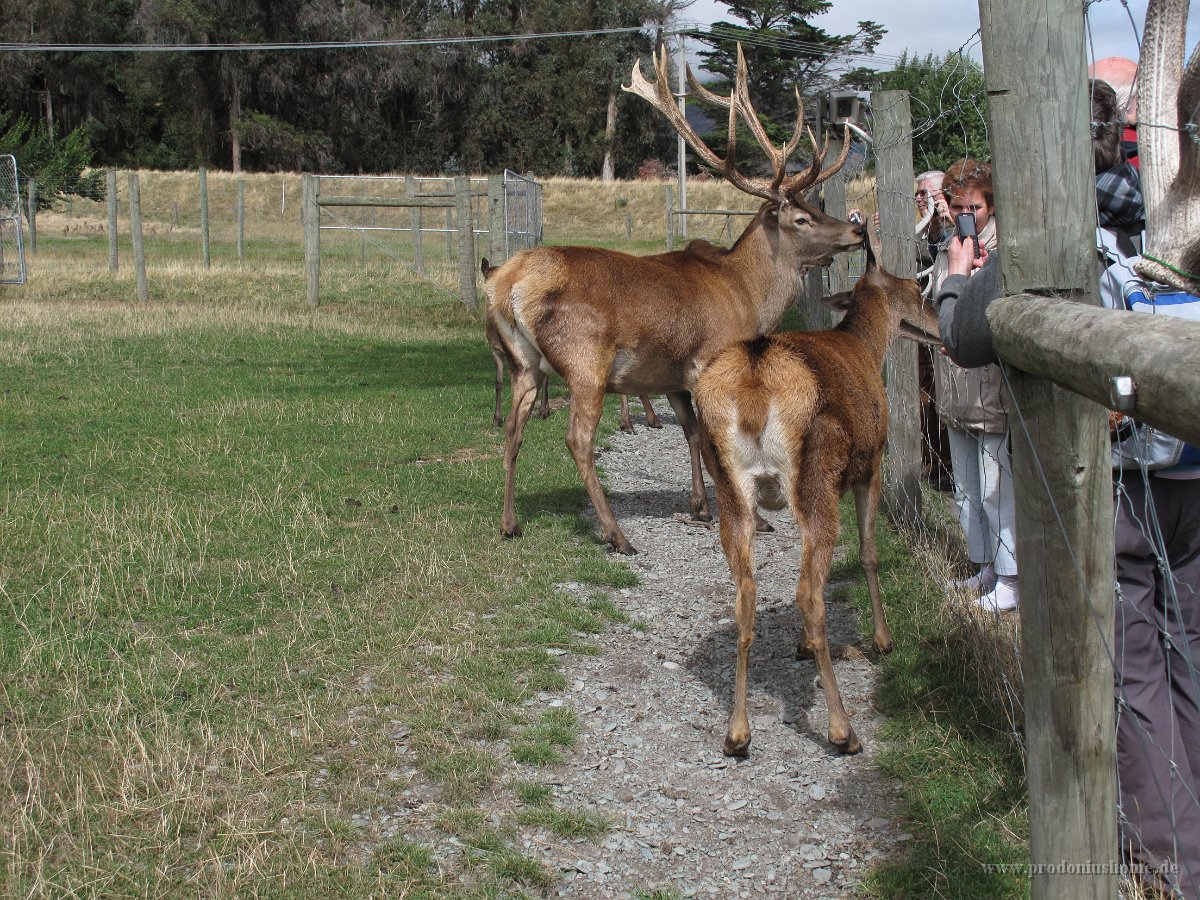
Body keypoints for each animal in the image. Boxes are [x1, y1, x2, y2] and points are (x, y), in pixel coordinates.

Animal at [482, 44, 868, 556]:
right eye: (801, 218)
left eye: (817, 206)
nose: (857, 230)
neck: (748, 297)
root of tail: (508, 283)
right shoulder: (711, 359)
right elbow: (714, 441)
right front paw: (754, 519)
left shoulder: (676, 374)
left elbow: (690, 433)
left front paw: (700, 506)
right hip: (585, 360)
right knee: (577, 440)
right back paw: (617, 534)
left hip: (524, 362)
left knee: (513, 430)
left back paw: (509, 522)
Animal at [700, 230, 940, 753]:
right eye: (916, 290)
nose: (938, 323)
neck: (867, 346)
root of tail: (755, 380)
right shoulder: (871, 463)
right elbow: (868, 552)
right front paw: (883, 638)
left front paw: (800, 644)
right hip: (817, 474)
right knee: (808, 592)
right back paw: (842, 728)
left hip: (730, 487)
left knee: (746, 593)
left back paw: (737, 732)